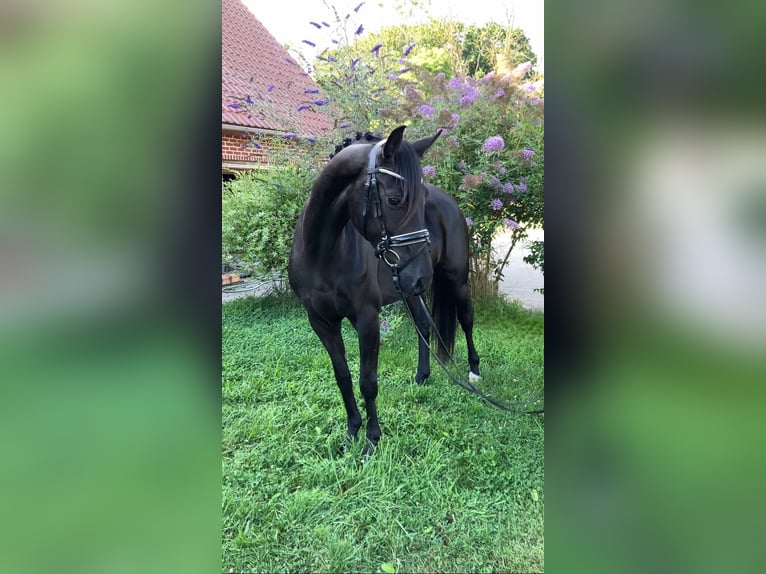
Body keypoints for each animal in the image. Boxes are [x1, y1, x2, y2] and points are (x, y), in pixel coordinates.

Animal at [288, 125, 480, 454]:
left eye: (422, 200)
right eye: (394, 200)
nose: (422, 275)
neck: (323, 251)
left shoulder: (367, 318)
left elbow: (368, 381)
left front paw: (371, 440)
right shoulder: (320, 321)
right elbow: (343, 376)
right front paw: (351, 432)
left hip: (455, 280)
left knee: (466, 320)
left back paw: (474, 372)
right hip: (410, 292)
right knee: (424, 327)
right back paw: (422, 375)